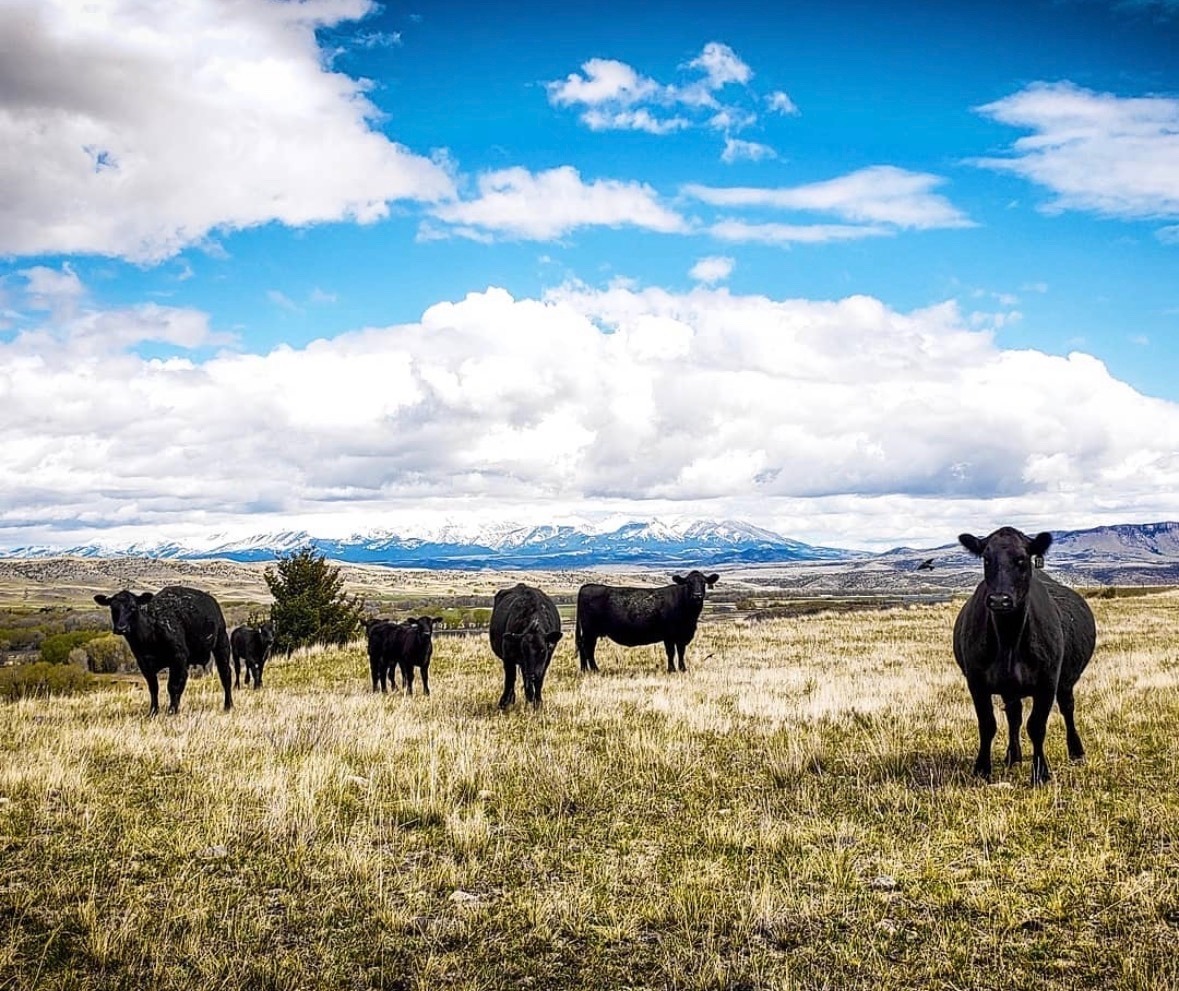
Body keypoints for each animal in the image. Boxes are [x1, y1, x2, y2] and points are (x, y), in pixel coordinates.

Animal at [93, 585, 233, 716]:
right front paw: (153, 711)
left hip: (222, 644)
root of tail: (211, 601)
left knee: (225, 674)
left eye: (133, 607)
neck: (150, 634)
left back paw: (228, 705)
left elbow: (173, 686)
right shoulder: (144, 663)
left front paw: (171, 711)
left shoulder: (178, 658)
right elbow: (153, 687)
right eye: (113, 608)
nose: (121, 628)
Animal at [575, 571, 719, 674]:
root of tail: (587, 586)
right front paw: (671, 670)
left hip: (590, 632)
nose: (697, 595)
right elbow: (671, 652)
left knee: (584, 646)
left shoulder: (681, 635)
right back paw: (594, 669)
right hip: (590, 631)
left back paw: (584, 670)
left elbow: (681, 651)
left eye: (703, 582)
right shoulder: (669, 635)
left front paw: (683, 669)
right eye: (689, 583)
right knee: (587, 647)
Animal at [953, 527, 1096, 786]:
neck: (1009, 639)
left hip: (1065, 681)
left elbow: (1037, 726)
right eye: (986, 559)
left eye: (1021, 559)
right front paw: (982, 768)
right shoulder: (976, 681)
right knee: (1014, 716)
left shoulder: (1047, 682)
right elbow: (987, 724)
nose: (1000, 600)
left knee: (1067, 708)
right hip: (1011, 689)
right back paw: (1013, 756)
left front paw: (1041, 773)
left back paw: (1076, 751)